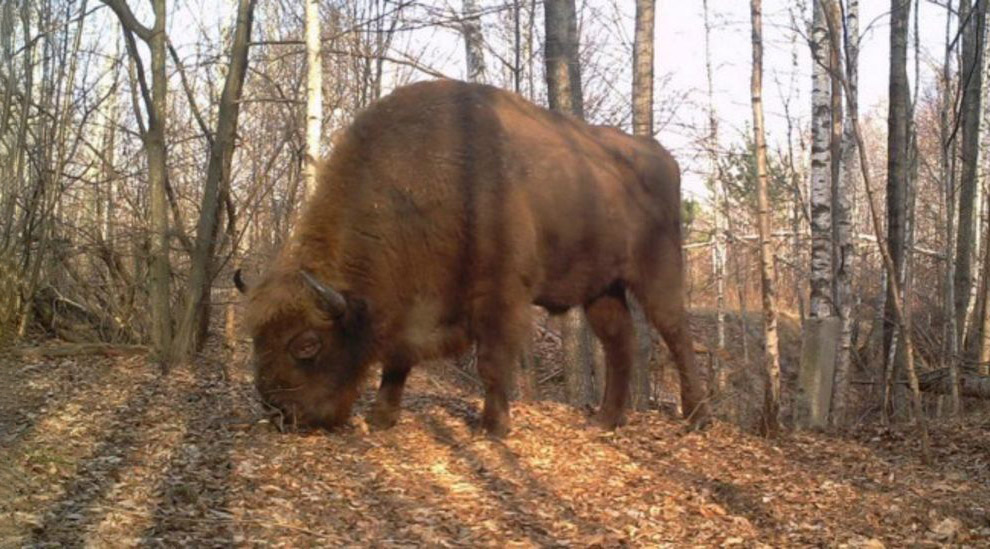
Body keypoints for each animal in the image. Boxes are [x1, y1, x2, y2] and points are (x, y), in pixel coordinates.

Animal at [243, 79, 712, 434]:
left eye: (306, 344)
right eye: (257, 337)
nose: (279, 412)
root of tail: (662, 156)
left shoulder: (500, 295)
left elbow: (491, 361)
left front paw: (494, 426)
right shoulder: (414, 304)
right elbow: (398, 359)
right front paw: (381, 418)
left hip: (658, 274)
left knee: (676, 334)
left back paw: (696, 419)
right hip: (602, 288)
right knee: (620, 343)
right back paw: (605, 421)